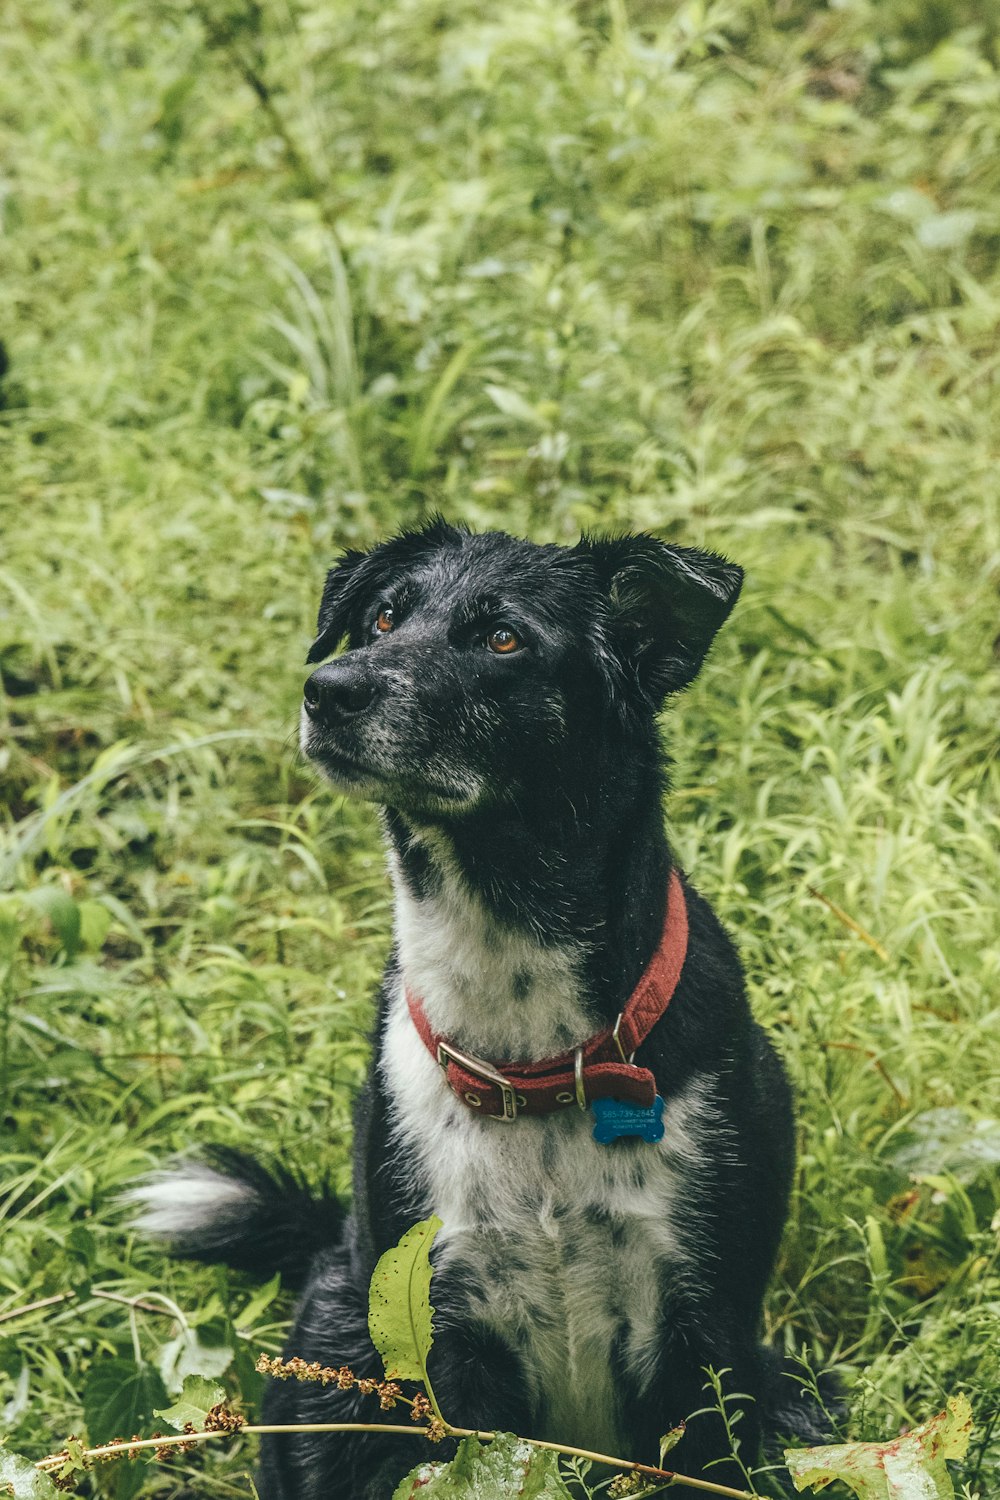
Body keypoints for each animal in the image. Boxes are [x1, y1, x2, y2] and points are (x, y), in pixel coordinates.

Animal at [134, 519, 821, 1500]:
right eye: (382, 620)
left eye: (503, 639)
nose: (327, 689)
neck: (530, 1060)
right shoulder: (439, 1341)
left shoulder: (709, 1338)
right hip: (334, 1367)